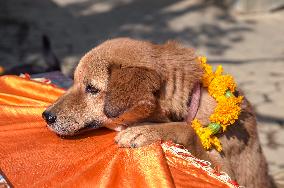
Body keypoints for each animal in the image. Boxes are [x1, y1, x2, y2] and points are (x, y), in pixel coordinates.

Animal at [42, 37, 276, 187]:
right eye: (74, 81)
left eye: (92, 88)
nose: (46, 116)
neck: (191, 101)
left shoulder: (227, 173)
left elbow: (187, 130)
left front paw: (145, 131)